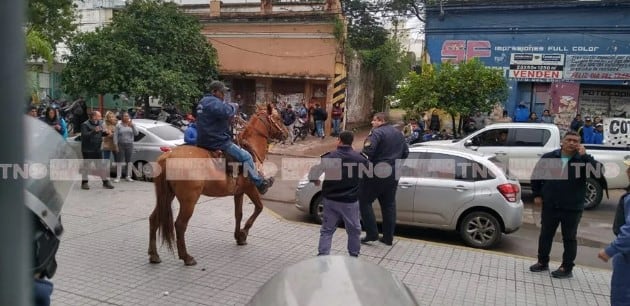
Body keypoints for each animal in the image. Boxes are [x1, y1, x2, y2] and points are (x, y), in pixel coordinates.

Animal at [148, 104, 288, 266]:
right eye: (278, 118)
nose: (287, 133)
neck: (250, 149)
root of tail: (168, 156)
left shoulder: (239, 192)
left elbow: (238, 214)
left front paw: (238, 237)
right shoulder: (251, 188)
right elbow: (259, 208)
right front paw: (244, 233)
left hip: (167, 195)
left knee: (154, 219)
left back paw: (154, 255)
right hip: (189, 200)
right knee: (180, 224)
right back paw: (186, 257)